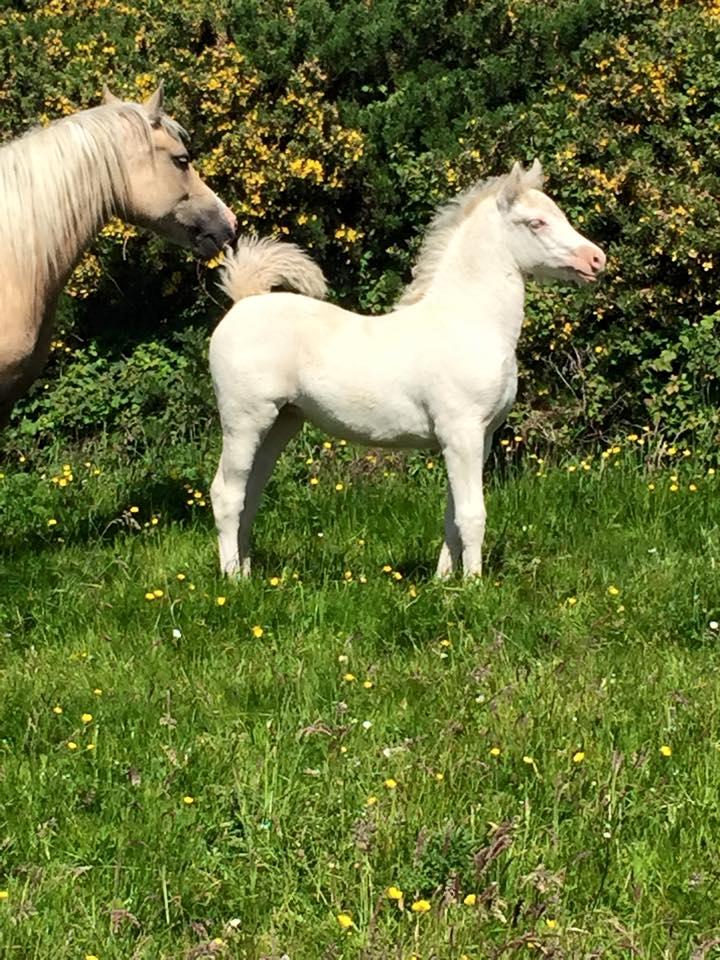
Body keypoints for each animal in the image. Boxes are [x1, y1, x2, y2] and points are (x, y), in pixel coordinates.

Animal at [211, 161, 604, 576]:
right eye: (536, 223)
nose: (597, 259)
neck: (468, 321)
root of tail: (243, 301)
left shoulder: (479, 438)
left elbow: (452, 515)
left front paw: (443, 579)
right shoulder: (461, 432)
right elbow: (472, 515)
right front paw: (474, 583)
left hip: (281, 423)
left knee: (250, 494)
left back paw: (248, 573)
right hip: (244, 421)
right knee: (227, 494)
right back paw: (232, 578)